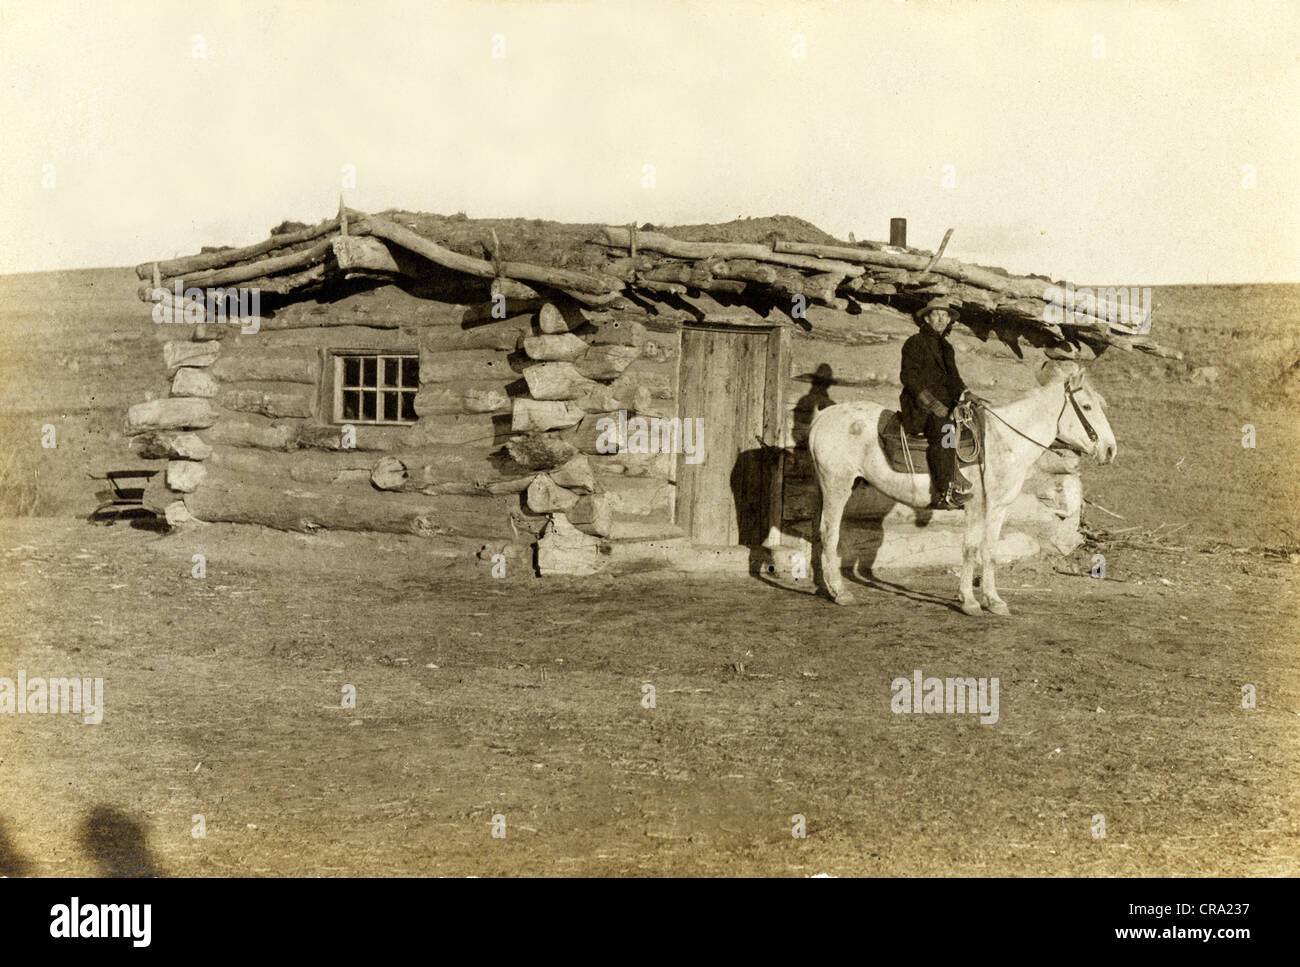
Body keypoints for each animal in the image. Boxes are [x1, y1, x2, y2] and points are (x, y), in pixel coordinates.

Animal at [806, 358, 1112, 616]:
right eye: (1087, 407)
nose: (1110, 450)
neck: (1003, 441)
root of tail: (822, 417)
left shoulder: (997, 509)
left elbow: (990, 551)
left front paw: (994, 601)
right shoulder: (976, 505)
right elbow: (970, 548)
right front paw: (969, 601)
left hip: (825, 488)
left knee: (818, 534)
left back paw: (824, 587)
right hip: (837, 486)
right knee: (830, 533)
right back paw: (840, 593)